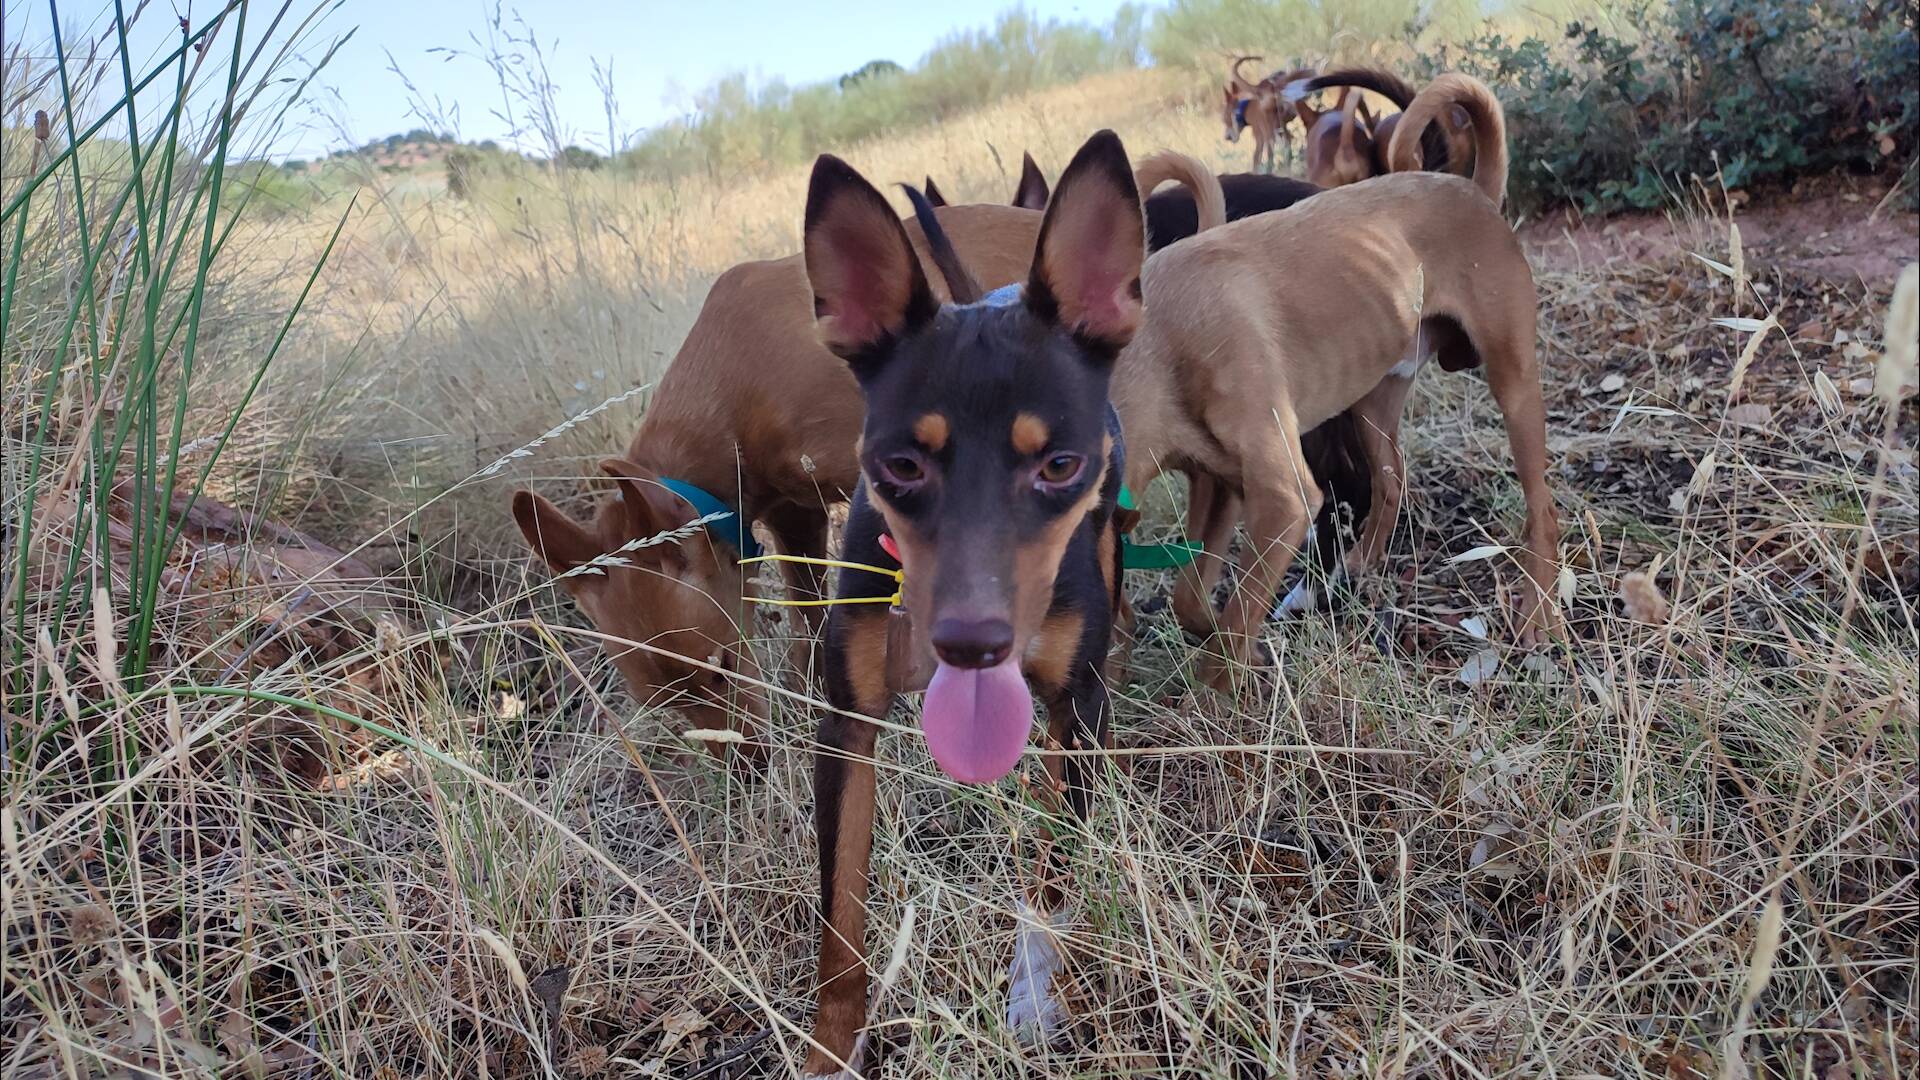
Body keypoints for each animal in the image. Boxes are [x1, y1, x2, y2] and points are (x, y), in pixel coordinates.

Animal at [794, 134, 1213, 1068]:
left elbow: (1053, 873)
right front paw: (831, 1051)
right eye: (901, 466)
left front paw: (1034, 994)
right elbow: (840, 918)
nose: (971, 644)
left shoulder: (1069, 711)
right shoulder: (847, 729)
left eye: (1057, 465)